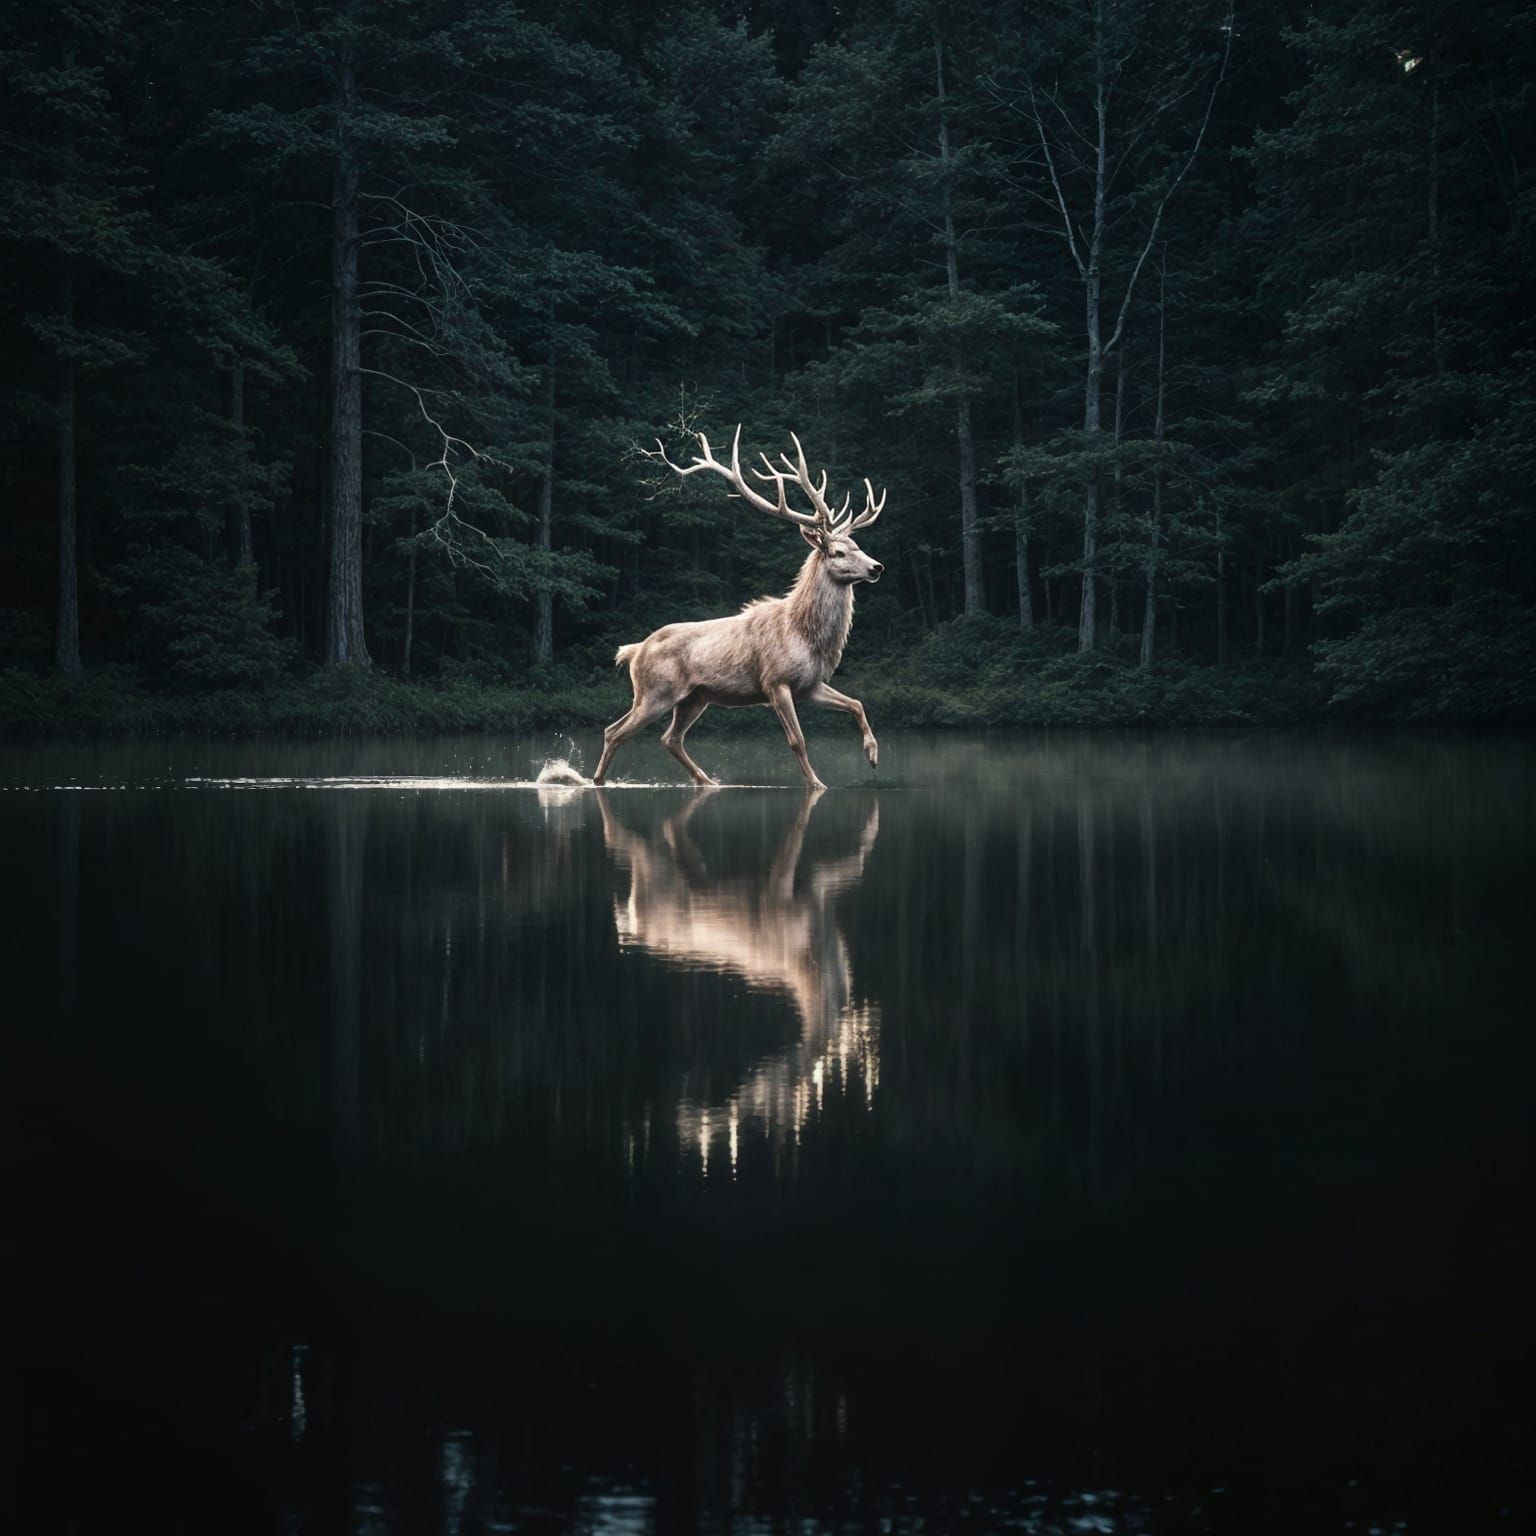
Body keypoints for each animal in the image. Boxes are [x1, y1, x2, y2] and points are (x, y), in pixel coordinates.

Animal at [543, 426, 887, 792]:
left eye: (857, 545)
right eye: (837, 552)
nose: (877, 567)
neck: (806, 634)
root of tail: (634, 651)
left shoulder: (809, 684)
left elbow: (857, 704)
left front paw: (872, 755)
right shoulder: (775, 681)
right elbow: (797, 740)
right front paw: (817, 783)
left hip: (694, 697)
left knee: (667, 737)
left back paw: (707, 780)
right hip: (655, 692)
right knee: (615, 731)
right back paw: (593, 781)